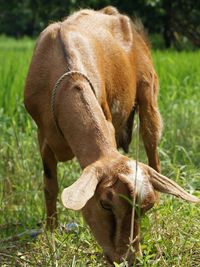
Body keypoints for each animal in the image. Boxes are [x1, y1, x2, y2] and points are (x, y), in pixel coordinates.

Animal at [24, 5, 199, 266]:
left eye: (145, 208)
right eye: (105, 204)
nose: (128, 258)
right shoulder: (42, 136)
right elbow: (50, 186)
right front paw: (51, 240)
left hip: (149, 93)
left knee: (153, 152)